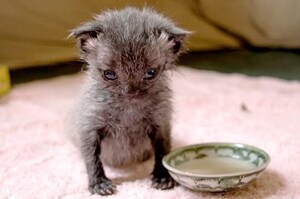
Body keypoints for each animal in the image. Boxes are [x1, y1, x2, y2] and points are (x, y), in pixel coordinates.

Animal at [68, 7, 188, 195]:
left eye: (150, 73)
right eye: (109, 74)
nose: (130, 93)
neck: (128, 109)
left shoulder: (161, 123)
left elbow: (162, 150)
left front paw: (162, 176)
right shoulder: (89, 126)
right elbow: (92, 157)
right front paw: (99, 183)